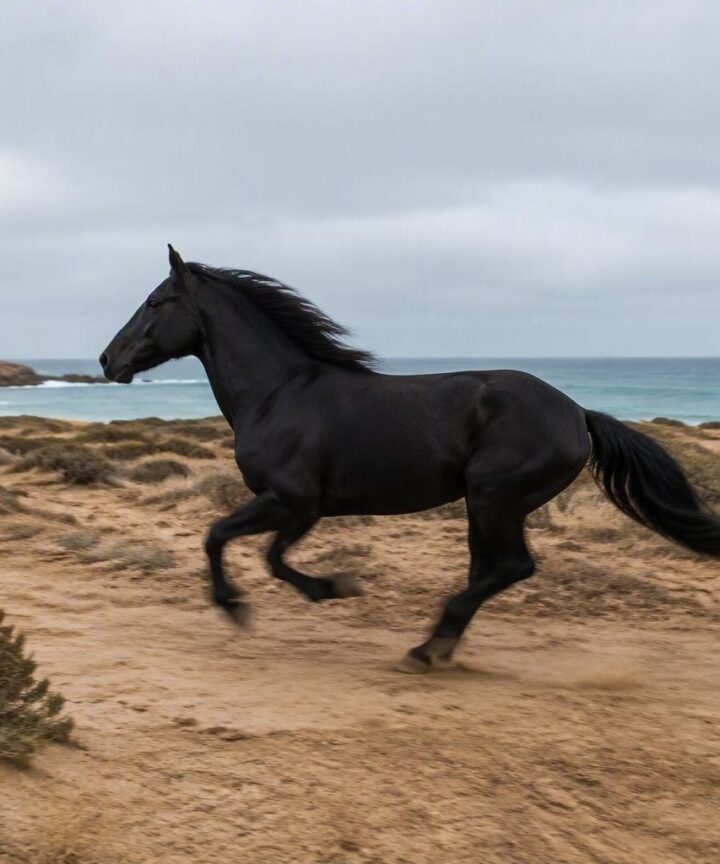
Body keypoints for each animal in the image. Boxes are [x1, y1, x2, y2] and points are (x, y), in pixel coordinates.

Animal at [100, 246, 720, 672]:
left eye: (155, 301)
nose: (108, 360)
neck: (280, 393)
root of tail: (578, 414)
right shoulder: (299, 507)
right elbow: (258, 551)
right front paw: (321, 589)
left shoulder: (294, 502)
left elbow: (232, 542)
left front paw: (264, 601)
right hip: (484, 506)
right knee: (489, 570)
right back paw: (437, 645)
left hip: (495, 497)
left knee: (512, 567)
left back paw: (426, 647)